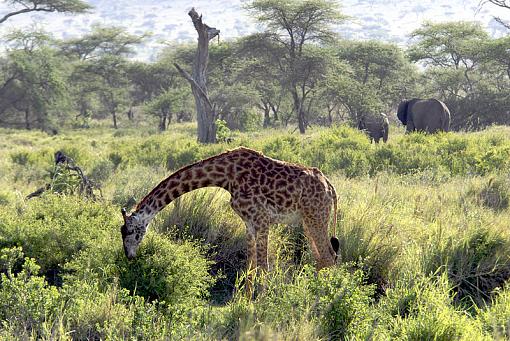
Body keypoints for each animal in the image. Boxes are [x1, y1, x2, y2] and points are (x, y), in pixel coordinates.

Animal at [121, 146, 340, 274]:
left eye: (131, 232)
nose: (129, 256)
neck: (227, 176)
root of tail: (330, 187)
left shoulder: (262, 219)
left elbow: (263, 266)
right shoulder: (249, 223)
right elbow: (249, 265)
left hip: (316, 217)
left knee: (328, 256)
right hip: (307, 221)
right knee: (323, 257)